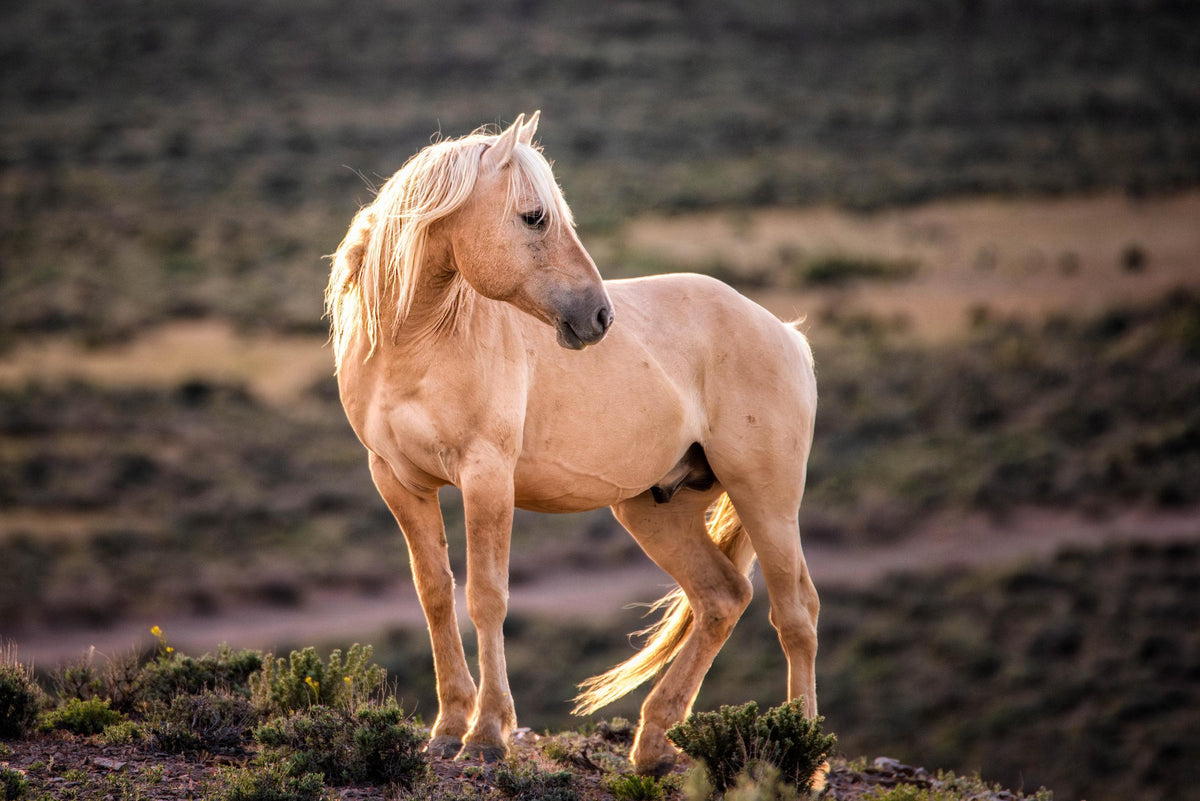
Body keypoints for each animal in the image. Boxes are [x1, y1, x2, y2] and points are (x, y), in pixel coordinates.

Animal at [325, 112, 819, 776]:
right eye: (535, 216)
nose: (600, 317)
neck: (416, 344)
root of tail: (784, 333)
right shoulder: (398, 480)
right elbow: (435, 594)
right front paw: (447, 729)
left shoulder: (486, 475)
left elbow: (487, 597)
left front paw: (487, 735)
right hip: (655, 508)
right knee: (722, 598)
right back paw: (654, 743)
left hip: (766, 498)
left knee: (795, 614)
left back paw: (803, 756)